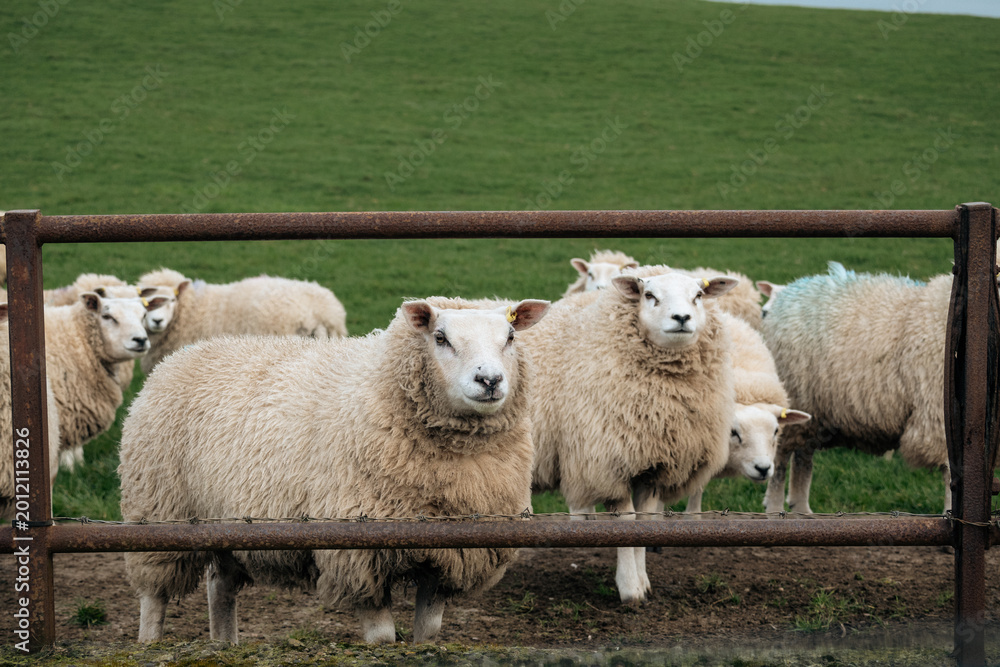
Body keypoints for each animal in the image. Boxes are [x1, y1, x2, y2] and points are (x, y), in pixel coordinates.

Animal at [118, 296, 550, 645]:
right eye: (441, 337)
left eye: (511, 336)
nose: (489, 380)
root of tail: (184, 354)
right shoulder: (356, 550)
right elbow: (382, 637)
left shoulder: (450, 555)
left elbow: (428, 632)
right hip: (158, 510)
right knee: (153, 595)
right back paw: (149, 642)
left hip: (223, 520)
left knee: (219, 587)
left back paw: (225, 645)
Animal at [525, 266, 736, 605]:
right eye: (649, 295)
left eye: (698, 295)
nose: (682, 317)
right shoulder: (609, 463)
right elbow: (625, 523)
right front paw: (630, 590)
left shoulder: (652, 466)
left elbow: (645, 523)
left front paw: (644, 582)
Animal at [762, 261, 953, 514]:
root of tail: (792, 291)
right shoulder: (939, 419)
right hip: (791, 398)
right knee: (780, 459)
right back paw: (775, 510)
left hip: (812, 410)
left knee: (803, 455)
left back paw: (801, 510)